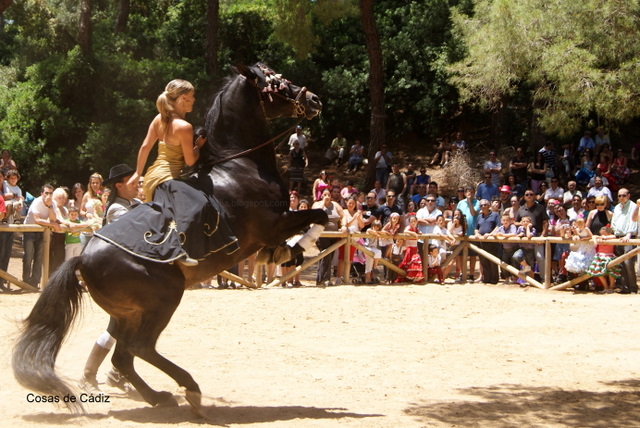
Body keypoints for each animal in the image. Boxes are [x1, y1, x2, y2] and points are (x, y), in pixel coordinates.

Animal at [12, 63, 327, 416]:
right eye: (275, 83)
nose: (313, 99)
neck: (238, 165)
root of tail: (84, 257)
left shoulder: (274, 227)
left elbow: (316, 218)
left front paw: (283, 253)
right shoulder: (273, 224)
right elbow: (319, 215)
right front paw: (294, 249)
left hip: (127, 313)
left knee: (123, 356)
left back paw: (156, 396)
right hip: (164, 299)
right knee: (139, 348)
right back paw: (189, 390)